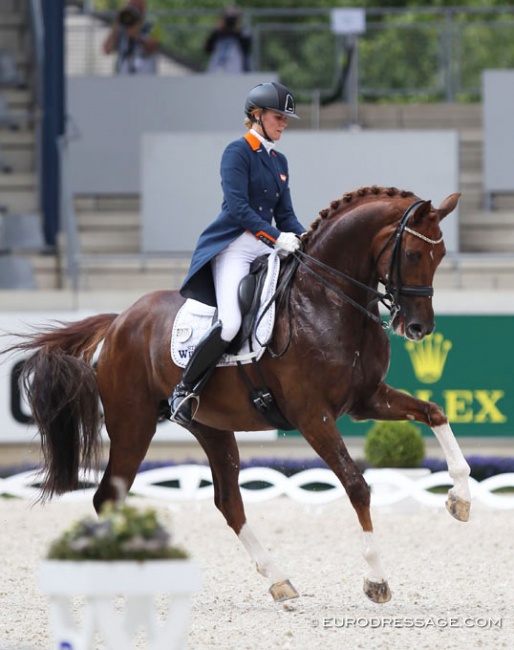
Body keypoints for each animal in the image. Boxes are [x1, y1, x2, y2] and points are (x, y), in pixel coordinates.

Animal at [7, 186, 468, 604]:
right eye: (413, 255)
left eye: (441, 255)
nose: (419, 328)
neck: (326, 301)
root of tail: (120, 319)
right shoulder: (312, 416)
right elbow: (357, 486)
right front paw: (376, 580)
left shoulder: (366, 399)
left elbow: (434, 413)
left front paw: (460, 498)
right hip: (132, 425)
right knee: (107, 496)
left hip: (210, 427)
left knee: (228, 501)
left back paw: (279, 581)